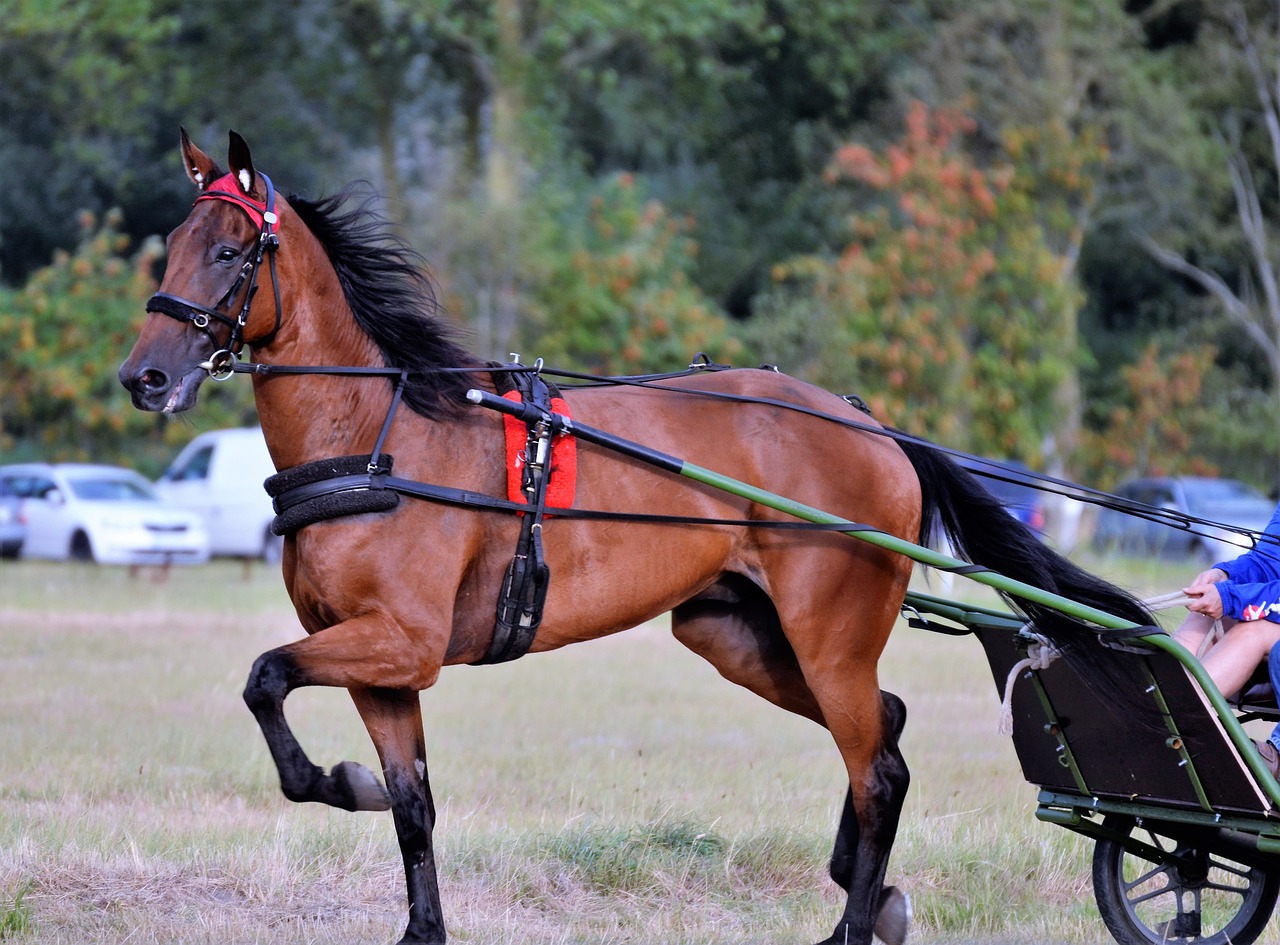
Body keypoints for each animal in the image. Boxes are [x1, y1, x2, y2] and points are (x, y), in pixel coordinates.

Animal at [120, 130, 1157, 942]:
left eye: (229, 251)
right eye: (171, 246)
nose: (144, 377)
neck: (379, 437)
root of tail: (870, 426)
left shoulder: (398, 641)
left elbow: (265, 676)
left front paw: (336, 778)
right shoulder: (383, 665)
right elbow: (409, 802)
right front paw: (390, 855)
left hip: (827, 638)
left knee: (881, 770)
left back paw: (854, 924)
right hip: (737, 634)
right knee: (887, 725)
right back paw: (862, 891)